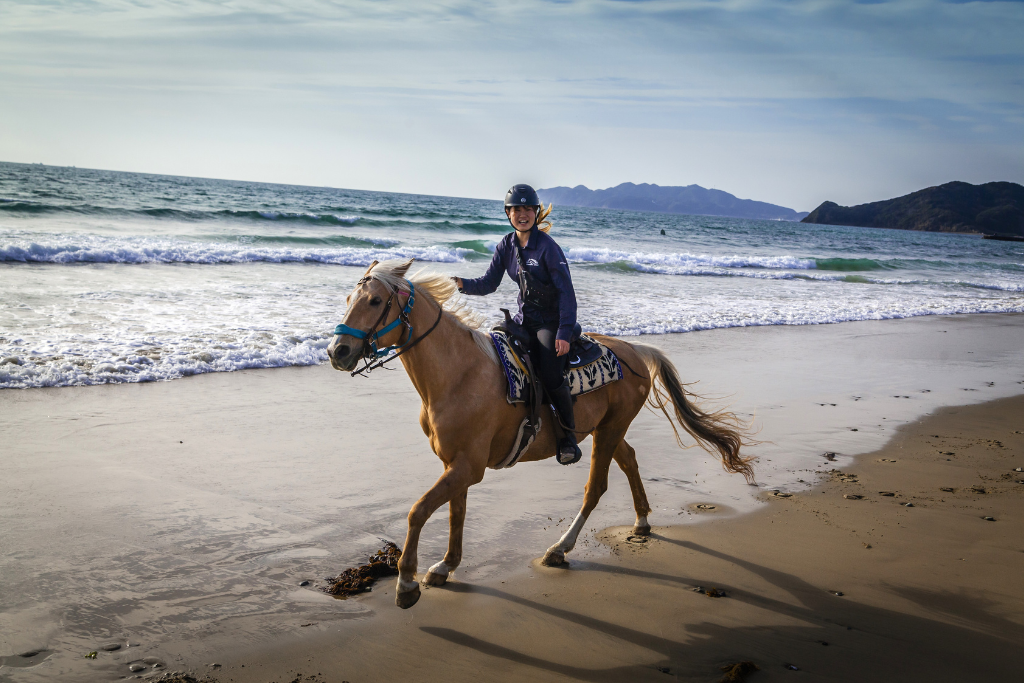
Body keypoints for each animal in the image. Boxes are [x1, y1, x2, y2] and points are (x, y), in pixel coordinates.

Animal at [327, 258, 753, 610]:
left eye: (374, 301)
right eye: (349, 298)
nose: (338, 351)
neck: (459, 374)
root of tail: (634, 349)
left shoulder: (467, 468)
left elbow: (418, 511)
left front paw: (406, 583)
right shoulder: (456, 465)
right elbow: (454, 515)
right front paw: (446, 566)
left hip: (608, 431)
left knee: (595, 487)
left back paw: (560, 549)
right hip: (606, 429)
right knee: (629, 460)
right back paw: (642, 522)